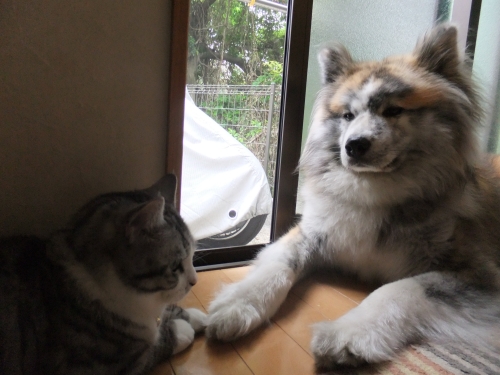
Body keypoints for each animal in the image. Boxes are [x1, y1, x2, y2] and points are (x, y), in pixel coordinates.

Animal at [0, 176, 207, 375]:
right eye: (175, 266)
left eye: (192, 256)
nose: (194, 281)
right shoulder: (96, 366)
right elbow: (152, 349)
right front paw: (181, 329)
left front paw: (197, 316)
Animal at [205, 25, 498, 372]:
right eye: (347, 115)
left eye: (394, 110)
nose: (354, 145)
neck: (375, 191)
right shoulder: (310, 234)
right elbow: (277, 265)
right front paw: (238, 304)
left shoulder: (477, 277)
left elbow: (399, 289)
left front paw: (349, 333)